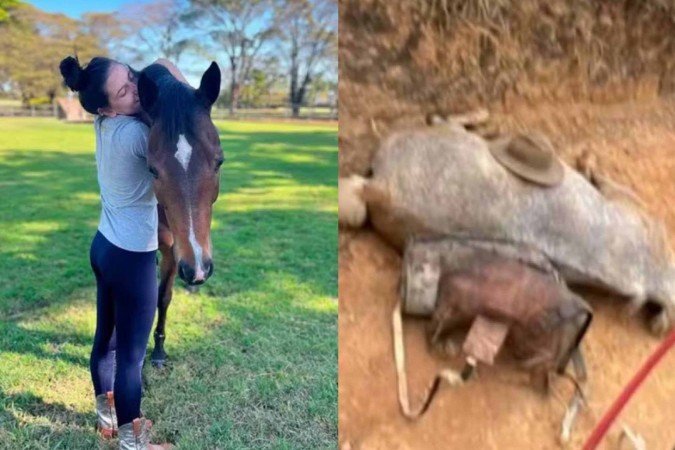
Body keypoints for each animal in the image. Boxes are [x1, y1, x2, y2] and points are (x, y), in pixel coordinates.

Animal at [137, 62, 223, 367]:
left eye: (219, 162)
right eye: (152, 170)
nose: (198, 269)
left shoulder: (176, 248)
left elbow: (163, 296)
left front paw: (159, 350)